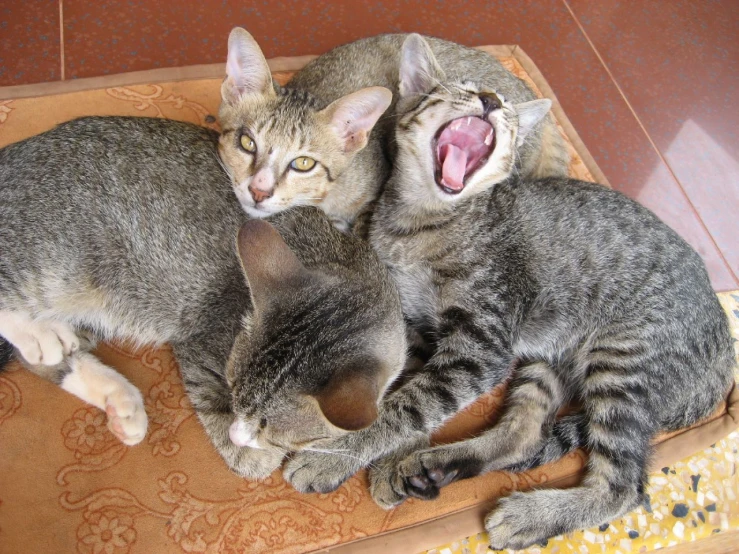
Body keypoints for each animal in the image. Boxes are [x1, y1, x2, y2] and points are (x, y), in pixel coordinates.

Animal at [0, 117, 404, 478]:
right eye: (231, 389)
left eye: (266, 423)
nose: (240, 435)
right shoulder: (202, 343)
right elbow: (214, 402)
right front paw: (248, 451)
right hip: (51, 263)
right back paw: (43, 334)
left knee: (40, 360)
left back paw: (115, 397)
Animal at [282, 48, 736, 548]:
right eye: (459, 88)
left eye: (506, 109)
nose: (491, 98)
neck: (420, 222)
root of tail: (724, 353)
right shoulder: (415, 329)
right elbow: (401, 391)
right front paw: (378, 453)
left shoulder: (480, 343)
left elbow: (411, 405)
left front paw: (334, 455)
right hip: (553, 355)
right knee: (524, 433)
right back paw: (435, 466)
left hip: (623, 362)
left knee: (624, 486)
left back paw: (530, 514)